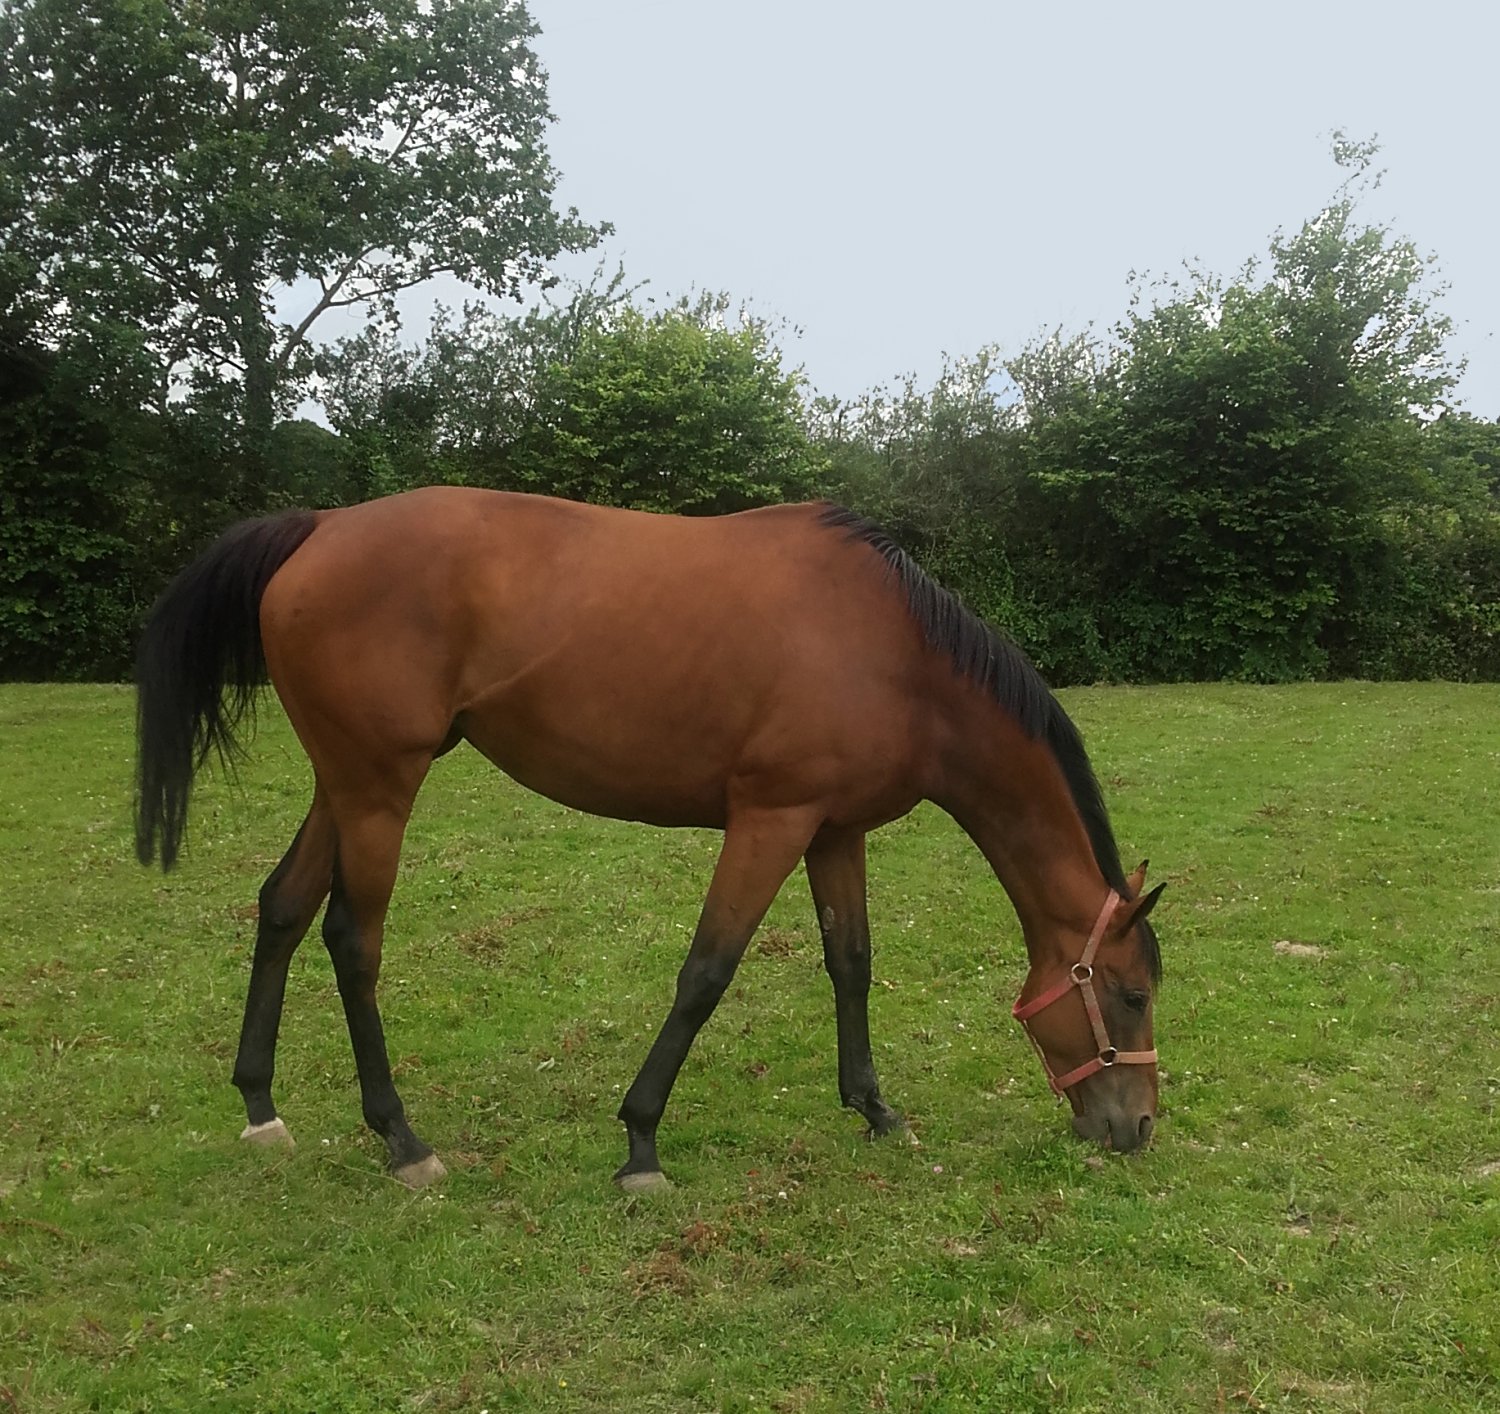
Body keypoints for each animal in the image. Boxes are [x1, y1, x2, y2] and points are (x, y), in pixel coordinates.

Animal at [134, 487, 1164, 1191]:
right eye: (1131, 994)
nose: (1139, 1127)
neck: (898, 656)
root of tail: (320, 526)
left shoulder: (833, 830)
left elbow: (851, 964)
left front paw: (875, 1109)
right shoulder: (770, 819)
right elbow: (706, 973)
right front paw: (640, 1142)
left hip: (341, 785)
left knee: (281, 907)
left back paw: (261, 1107)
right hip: (379, 787)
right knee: (353, 939)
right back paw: (402, 1138)